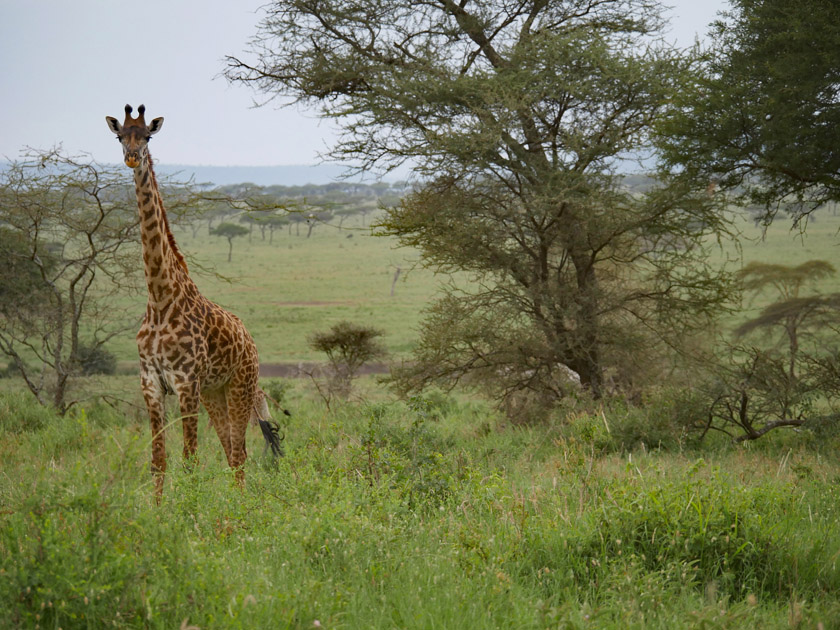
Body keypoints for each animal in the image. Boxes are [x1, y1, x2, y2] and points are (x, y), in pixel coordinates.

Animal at [104, 105, 282, 498]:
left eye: (148, 136)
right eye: (120, 136)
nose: (132, 157)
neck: (159, 298)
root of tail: (250, 340)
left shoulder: (186, 382)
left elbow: (189, 461)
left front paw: (189, 510)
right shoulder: (151, 383)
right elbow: (158, 460)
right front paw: (159, 510)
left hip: (240, 386)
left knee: (240, 452)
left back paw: (240, 507)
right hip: (214, 392)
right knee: (231, 451)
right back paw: (235, 505)